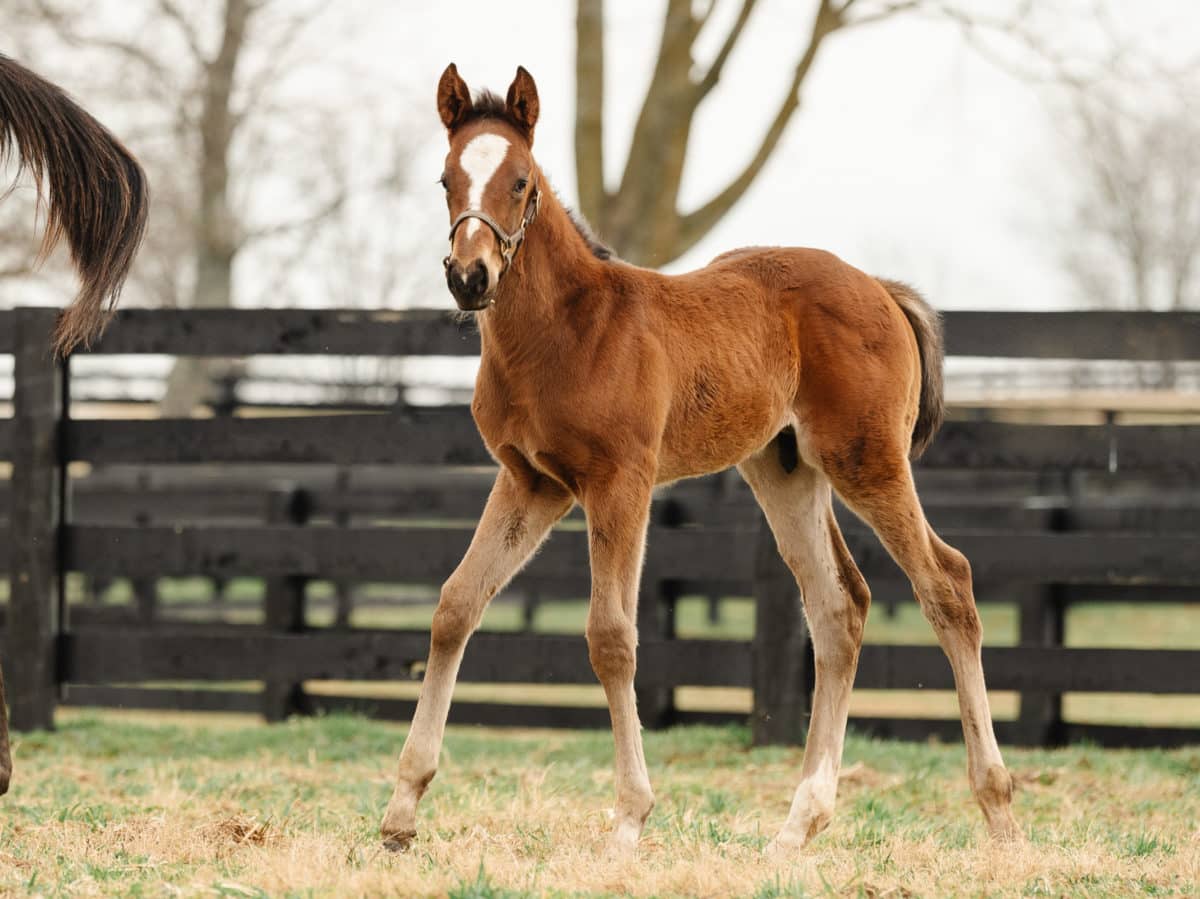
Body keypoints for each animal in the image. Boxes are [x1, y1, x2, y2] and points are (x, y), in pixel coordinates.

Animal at [379, 66, 1017, 854]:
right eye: (446, 179)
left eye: (521, 181)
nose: (469, 276)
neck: (567, 330)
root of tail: (881, 289)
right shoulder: (530, 482)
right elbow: (455, 605)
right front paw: (402, 809)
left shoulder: (620, 481)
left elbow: (612, 636)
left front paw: (629, 818)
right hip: (785, 470)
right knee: (839, 606)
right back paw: (798, 825)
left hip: (866, 460)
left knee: (948, 584)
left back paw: (998, 809)